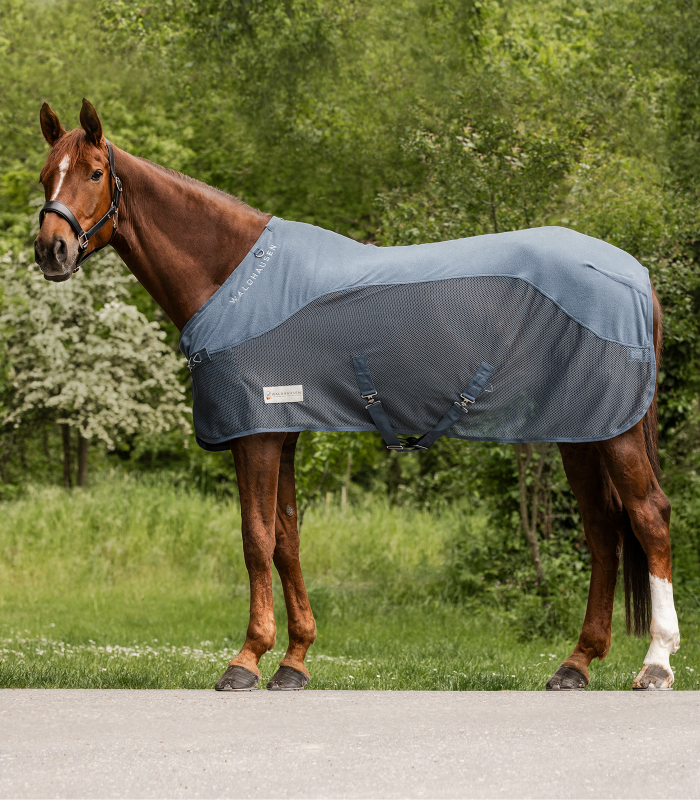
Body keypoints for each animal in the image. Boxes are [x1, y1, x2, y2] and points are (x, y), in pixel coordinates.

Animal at [33, 99, 680, 692]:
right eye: (45, 175)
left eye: (94, 172)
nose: (50, 250)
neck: (234, 278)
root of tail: (636, 275)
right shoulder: (282, 432)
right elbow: (287, 540)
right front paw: (294, 662)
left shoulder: (256, 433)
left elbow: (255, 539)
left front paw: (247, 659)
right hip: (581, 433)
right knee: (603, 533)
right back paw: (576, 665)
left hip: (615, 432)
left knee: (648, 518)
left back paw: (655, 664)